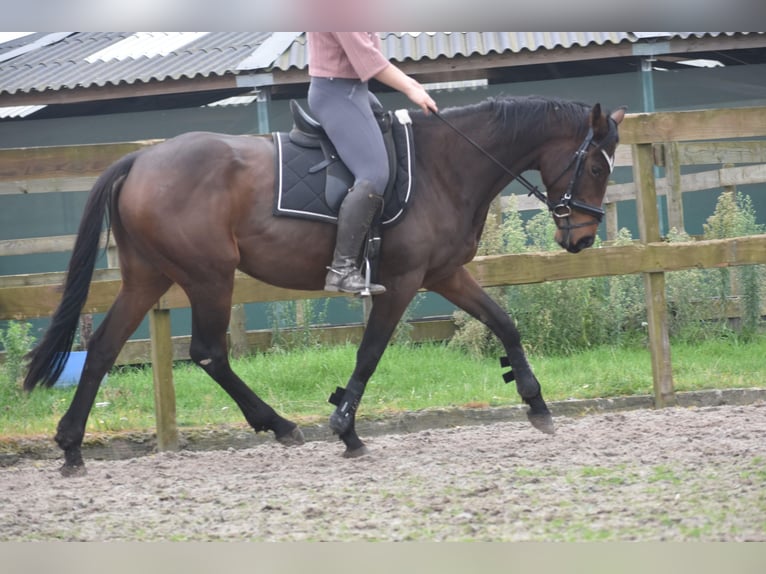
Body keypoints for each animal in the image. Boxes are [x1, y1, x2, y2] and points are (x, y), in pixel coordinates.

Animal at [24, 95, 628, 476]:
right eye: (598, 167)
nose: (581, 238)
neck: (446, 166)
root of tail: (141, 158)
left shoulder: (443, 274)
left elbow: (504, 322)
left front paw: (536, 404)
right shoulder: (401, 282)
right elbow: (370, 353)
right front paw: (345, 428)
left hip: (150, 275)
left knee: (104, 348)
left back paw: (71, 447)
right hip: (209, 276)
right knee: (208, 351)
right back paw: (279, 424)